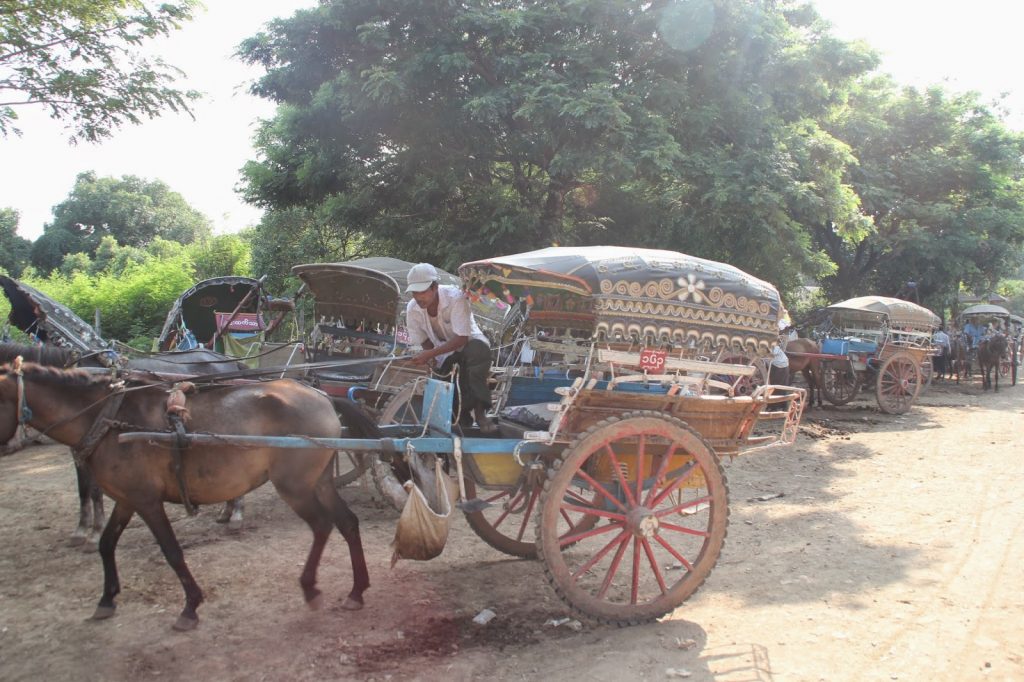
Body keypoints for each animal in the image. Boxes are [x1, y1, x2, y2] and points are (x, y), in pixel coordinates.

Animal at [0, 339, 249, 548]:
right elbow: (83, 489)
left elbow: (95, 490)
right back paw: (227, 510)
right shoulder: (81, 446)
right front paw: (81, 530)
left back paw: (236, 513)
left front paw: (94, 533)